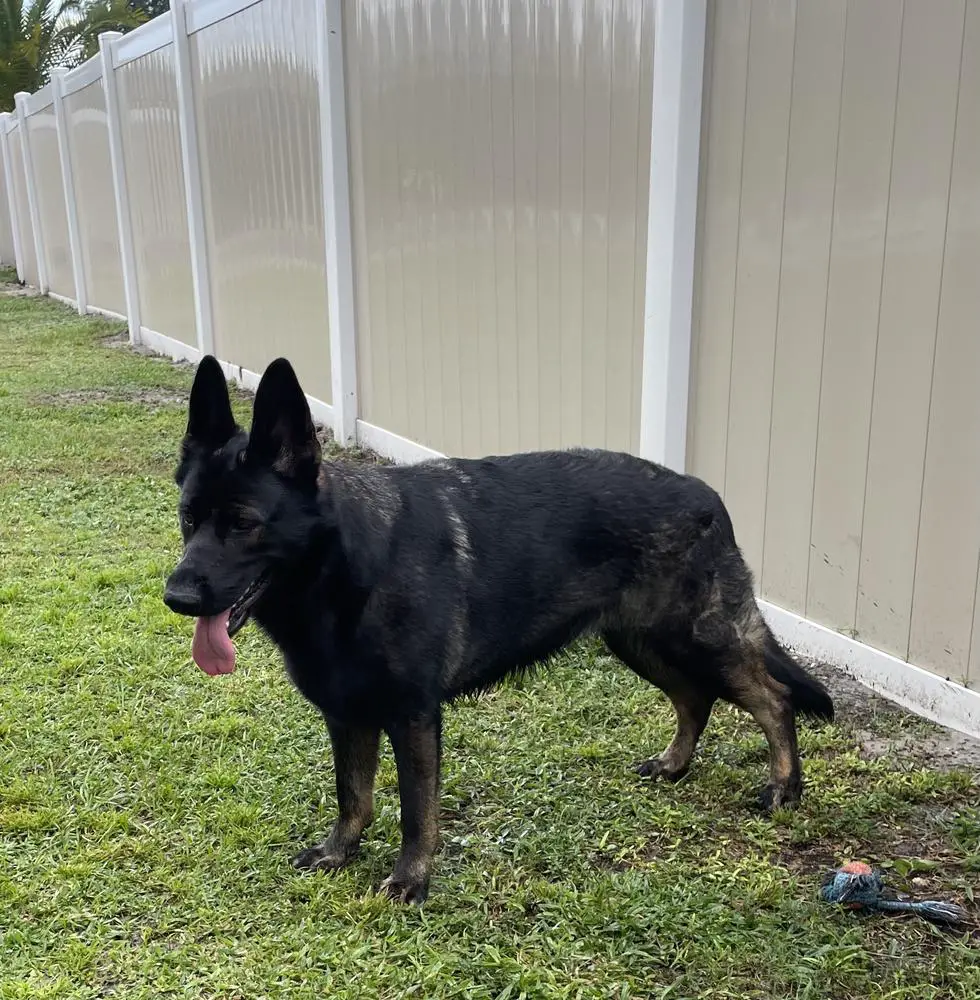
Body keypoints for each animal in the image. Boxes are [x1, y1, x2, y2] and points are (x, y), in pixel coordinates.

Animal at [165, 356, 832, 904]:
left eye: (244, 524)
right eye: (188, 518)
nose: (176, 597)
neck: (347, 565)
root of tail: (707, 494)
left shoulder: (412, 717)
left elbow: (415, 812)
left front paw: (411, 880)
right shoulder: (347, 715)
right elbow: (353, 795)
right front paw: (338, 852)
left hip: (698, 638)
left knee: (772, 699)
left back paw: (783, 787)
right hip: (641, 642)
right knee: (695, 697)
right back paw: (674, 764)